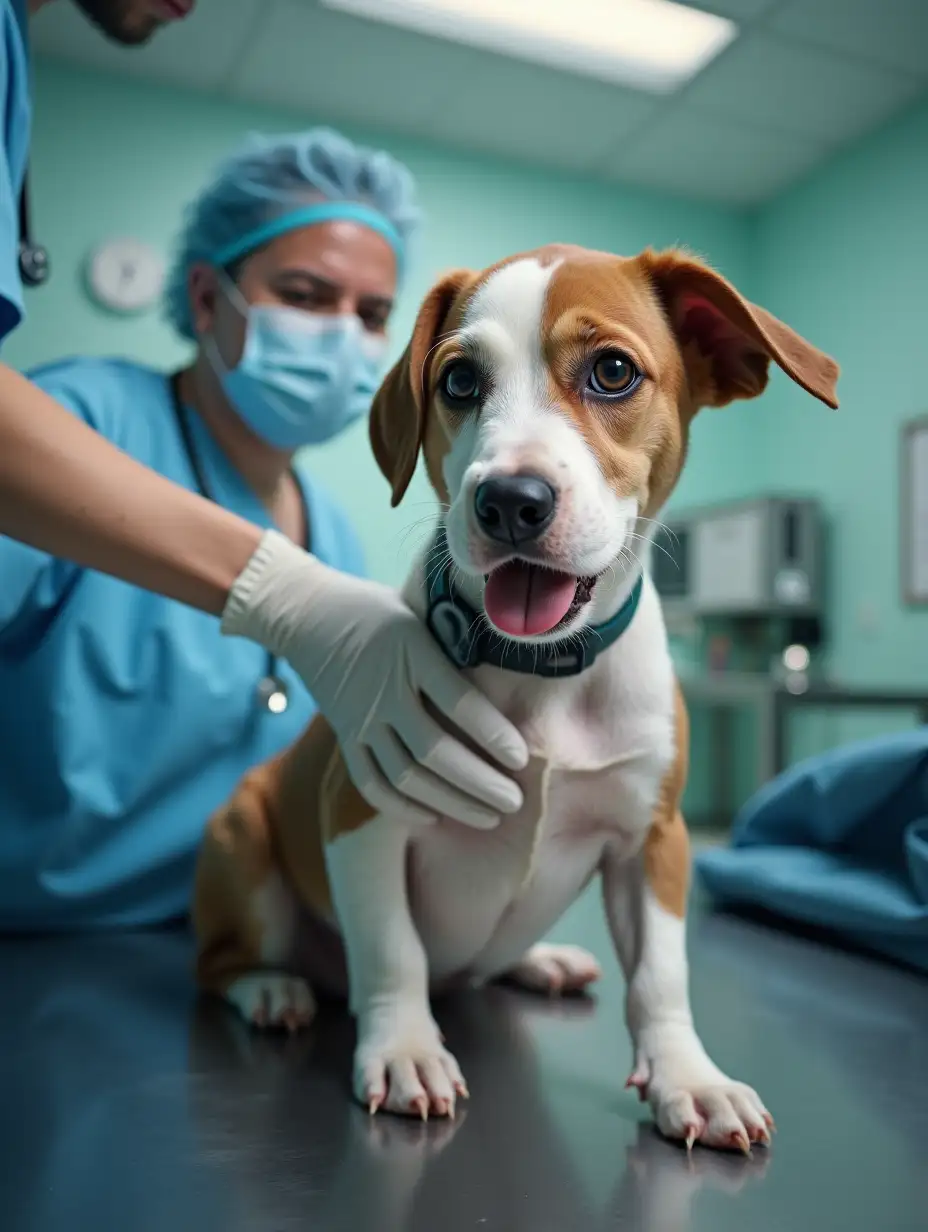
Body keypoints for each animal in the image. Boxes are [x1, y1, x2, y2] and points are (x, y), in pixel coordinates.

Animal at [192, 242, 838, 1153]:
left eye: (612, 372)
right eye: (460, 381)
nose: (509, 501)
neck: (542, 672)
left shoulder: (654, 838)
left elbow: (662, 974)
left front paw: (690, 1077)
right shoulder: (362, 812)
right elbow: (391, 949)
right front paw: (404, 1048)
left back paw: (538, 960)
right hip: (243, 833)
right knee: (219, 962)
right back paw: (269, 987)